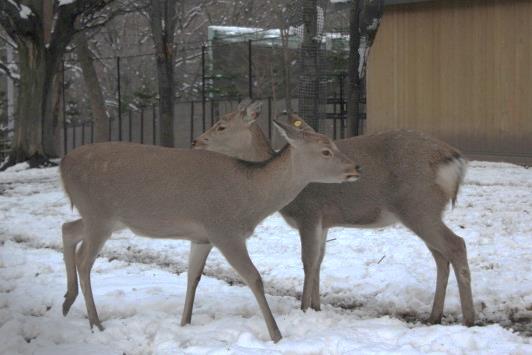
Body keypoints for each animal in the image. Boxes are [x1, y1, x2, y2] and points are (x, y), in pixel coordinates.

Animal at [60, 116, 360, 342]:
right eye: (325, 151)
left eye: (333, 144)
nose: (356, 166)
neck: (251, 201)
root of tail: (62, 165)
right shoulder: (224, 230)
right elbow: (254, 278)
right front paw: (276, 335)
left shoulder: (202, 237)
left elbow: (193, 276)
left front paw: (184, 323)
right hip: (99, 214)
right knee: (84, 259)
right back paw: (95, 322)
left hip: (103, 218)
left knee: (67, 228)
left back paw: (67, 301)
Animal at [193, 101, 476, 328]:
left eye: (221, 126)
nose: (196, 141)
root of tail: (454, 161)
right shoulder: (325, 220)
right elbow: (319, 260)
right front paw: (316, 307)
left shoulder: (310, 213)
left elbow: (308, 261)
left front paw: (304, 308)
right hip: (426, 211)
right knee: (441, 257)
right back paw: (434, 316)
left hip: (419, 206)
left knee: (456, 245)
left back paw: (469, 319)